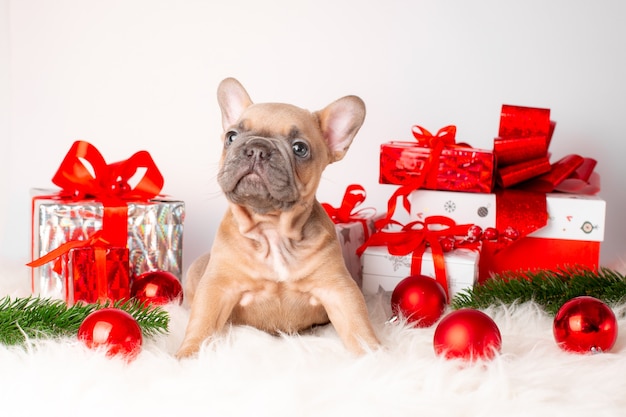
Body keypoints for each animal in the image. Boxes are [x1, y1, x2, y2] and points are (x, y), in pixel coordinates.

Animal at [177, 77, 380, 358]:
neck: (272, 228)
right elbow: (202, 322)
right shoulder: (217, 287)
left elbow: (358, 325)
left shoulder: (339, 289)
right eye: (231, 136)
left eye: (300, 148)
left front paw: (376, 355)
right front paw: (188, 355)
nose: (256, 149)